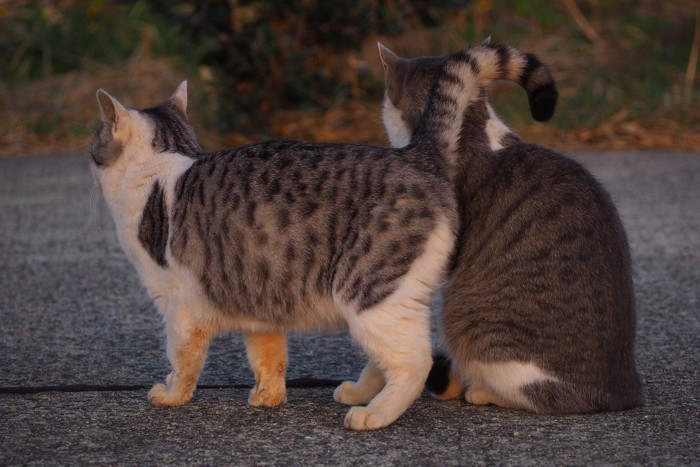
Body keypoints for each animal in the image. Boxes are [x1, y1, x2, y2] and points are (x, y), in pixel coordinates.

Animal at [89, 47, 498, 432]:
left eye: (96, 137)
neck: (159, 164)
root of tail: (416, 156)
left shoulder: (179, 308)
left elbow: (183, 360)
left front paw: (171, 395)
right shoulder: (257, 301)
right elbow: (268, 357)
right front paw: (268, 397)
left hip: (368, 293)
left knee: (415, 360)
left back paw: (375, 412)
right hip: (393, 300)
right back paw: (360, 392)